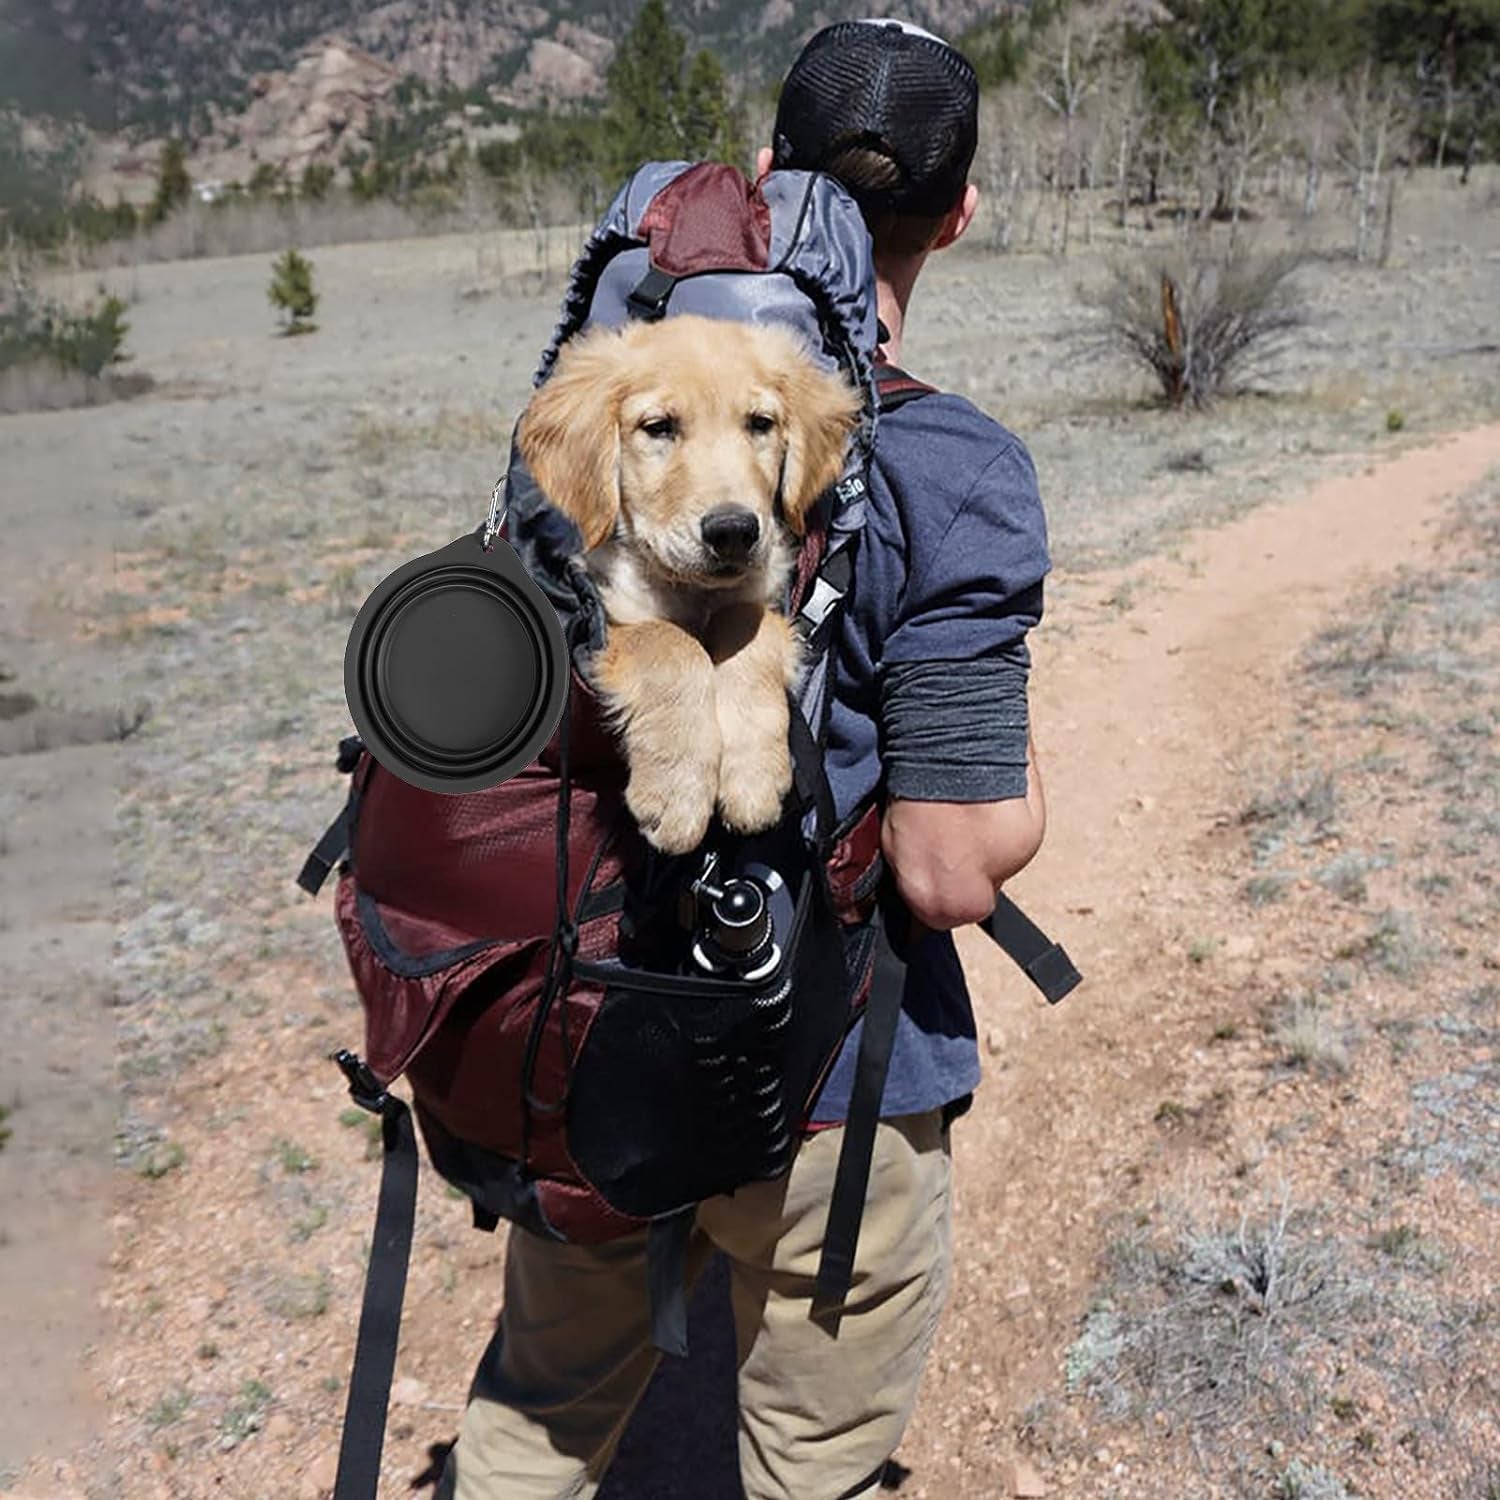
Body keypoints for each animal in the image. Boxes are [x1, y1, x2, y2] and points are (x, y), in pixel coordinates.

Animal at [519, 316, 864, 858]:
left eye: (760, 424)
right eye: (659, 427)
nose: (733, 531)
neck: (694, 590)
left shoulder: (762, 596)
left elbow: (747, 628)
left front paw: (752, 777)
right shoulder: (610, 614)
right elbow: (670, 644)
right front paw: (677, 794)